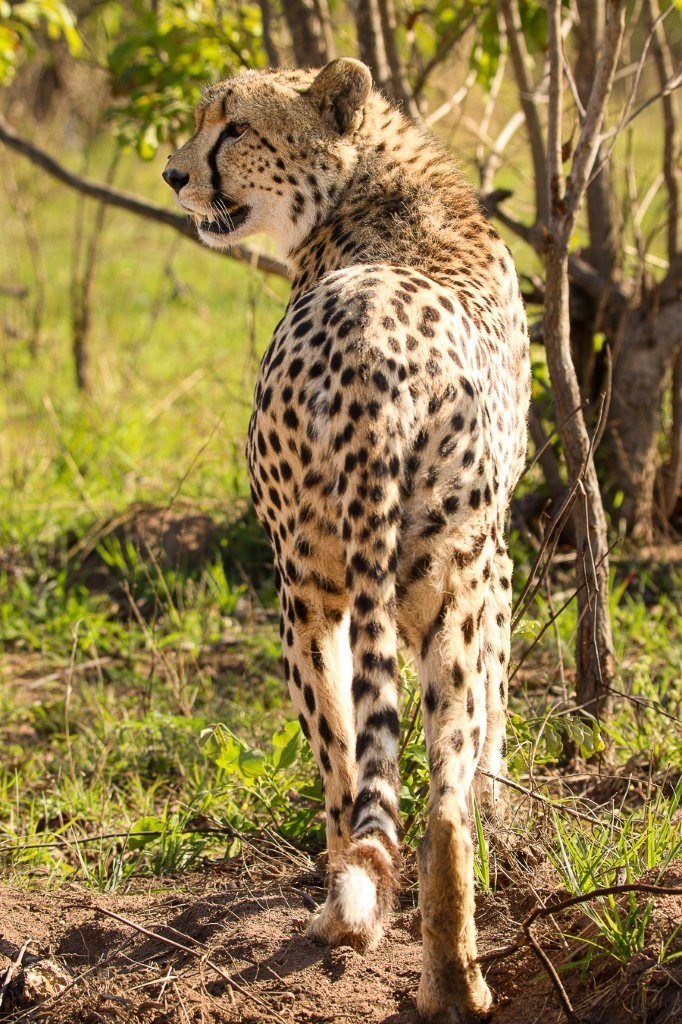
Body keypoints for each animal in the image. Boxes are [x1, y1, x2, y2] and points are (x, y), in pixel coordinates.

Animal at [163, 57, 530, 1023]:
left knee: (343, 773)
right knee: (441, 804)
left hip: (304, 595)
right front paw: (505, 821)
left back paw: (341, 914)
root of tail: (372, 352)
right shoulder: (496, 559)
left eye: (232, 127)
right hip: (445, 586)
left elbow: (351, 760)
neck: (370, 186)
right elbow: (493, 721)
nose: (174, 176)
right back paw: (455, 983)